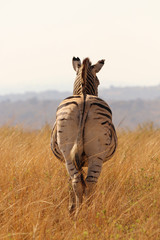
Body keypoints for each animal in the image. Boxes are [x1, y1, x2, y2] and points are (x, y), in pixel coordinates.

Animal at [51, 56, 117, 218]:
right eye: (98, 82)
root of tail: (84, 100)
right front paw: (73, 208)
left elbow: (70, 182)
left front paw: (71, 207)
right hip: (94, 153)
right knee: (87, 182)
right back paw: (86, 213)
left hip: (71, 152)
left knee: (80, 181)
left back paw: (82, 213)